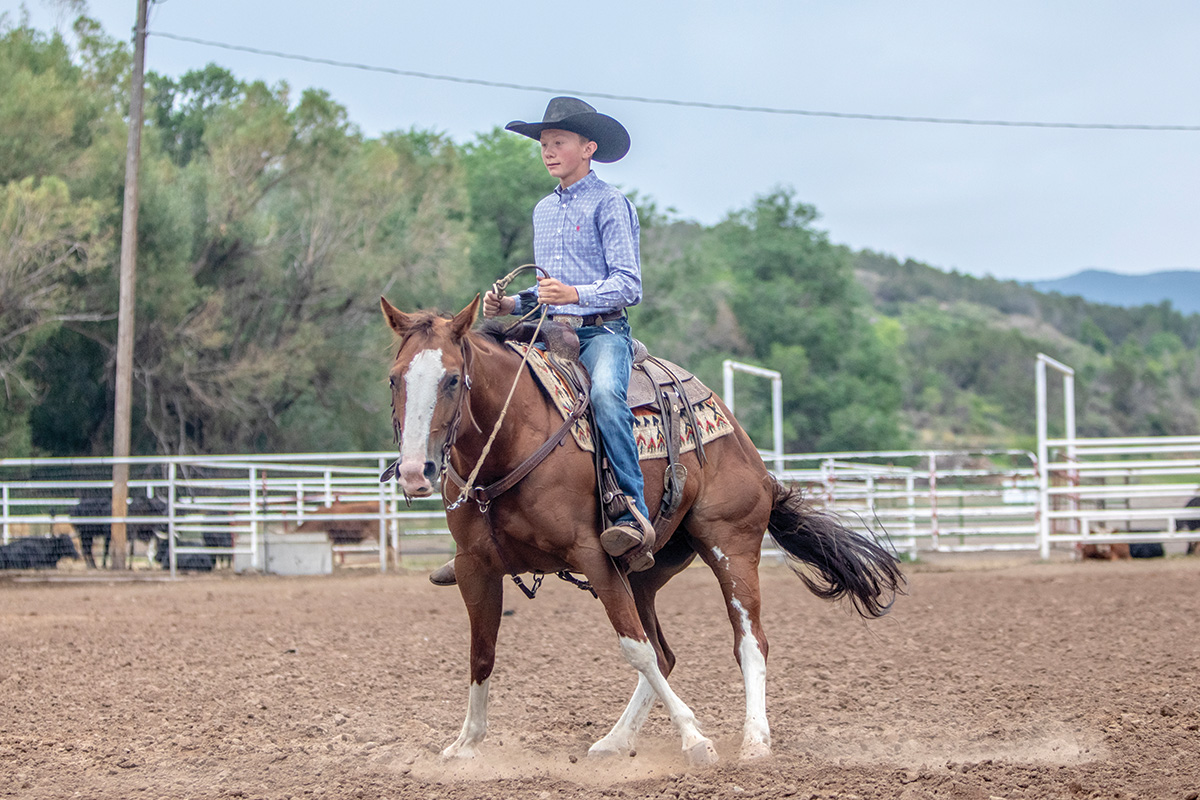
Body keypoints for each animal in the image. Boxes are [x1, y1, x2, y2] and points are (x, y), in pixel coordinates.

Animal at [381, 293, 902, 762]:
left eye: (452, 379)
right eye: (394, 379)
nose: (416, 471)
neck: (512, 441)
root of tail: (745, 445)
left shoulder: (593, 556)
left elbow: (635, 650)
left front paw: (695, 739)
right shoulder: (475, 566)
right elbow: (481, 653)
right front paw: (465, 745)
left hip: (730, 547)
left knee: (748, 642)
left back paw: (754, 741)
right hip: (645, 572)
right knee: (665, 653)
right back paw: (616, 740)